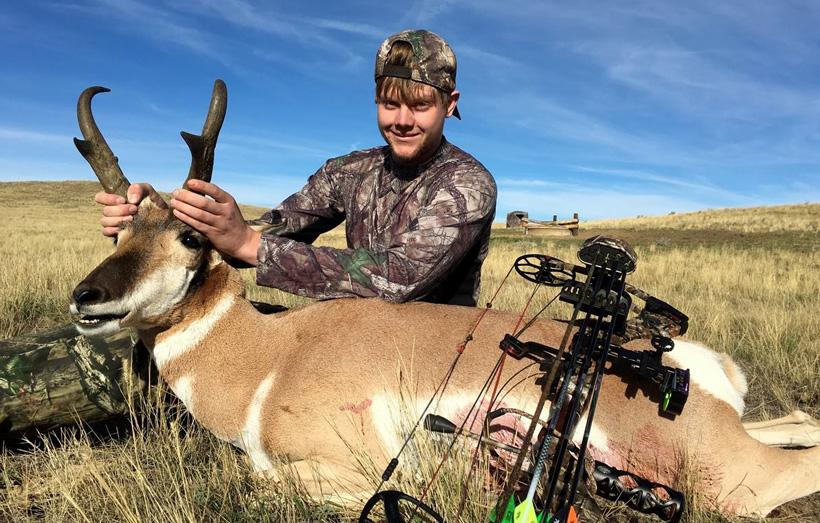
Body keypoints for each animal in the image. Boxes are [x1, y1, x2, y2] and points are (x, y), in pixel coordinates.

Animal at [69, 80, 819, 518]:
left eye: (191, 234)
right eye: (119, 229)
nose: (86, 296)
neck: (270, 354)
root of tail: (682, 361)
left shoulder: (340, 460)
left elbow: (270, 481)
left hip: (720, 481)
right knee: (799, 418)